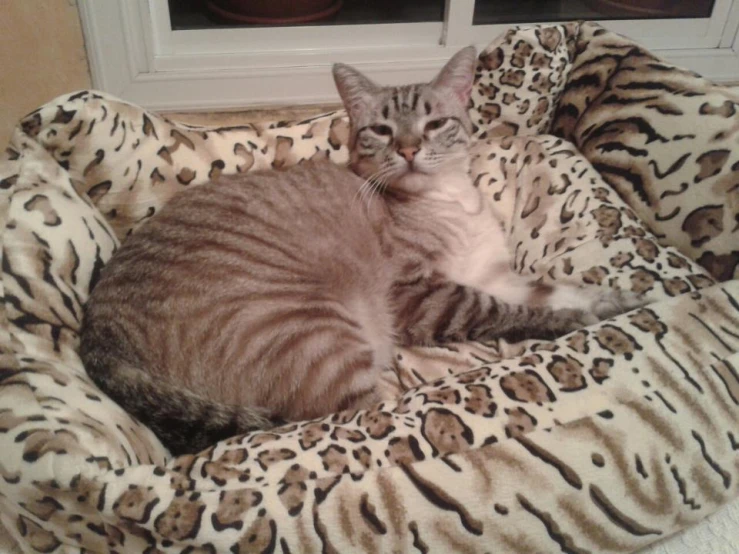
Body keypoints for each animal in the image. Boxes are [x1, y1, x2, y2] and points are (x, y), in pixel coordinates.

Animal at [76, 46, 640, 452]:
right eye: (382, 131)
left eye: (434, 124)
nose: (409, 150)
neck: (447, 199)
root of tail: (97, 341)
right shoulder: (423, 294)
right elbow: (514, 312)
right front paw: (578, 322)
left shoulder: (493, 273)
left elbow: (555, 289)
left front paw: (621, 301)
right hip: (317, 330)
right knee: (371, 418)